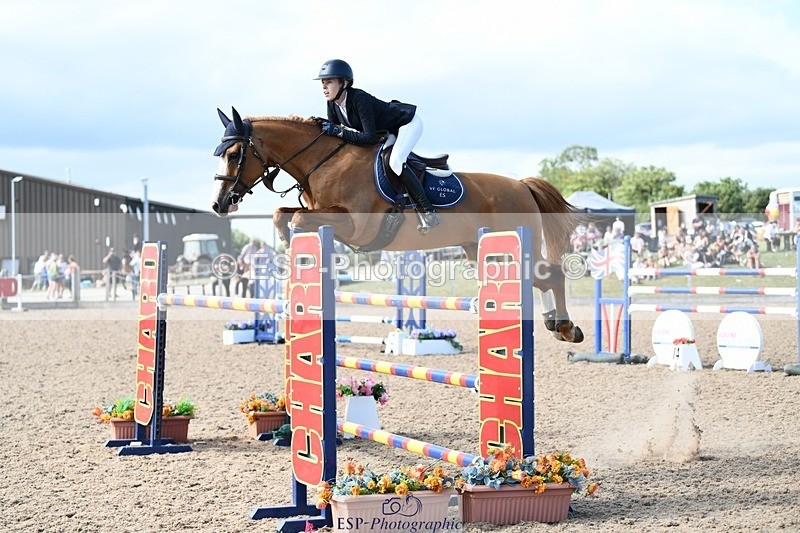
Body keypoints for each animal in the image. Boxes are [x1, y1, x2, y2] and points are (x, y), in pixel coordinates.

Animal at [211, 108, 583, 343]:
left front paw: (293, 245)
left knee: (553, 274)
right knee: (541, 278)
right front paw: (290, 247)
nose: (220, 203)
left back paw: (566, 327)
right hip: (487, 250)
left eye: (233, 155)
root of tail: (522, 185)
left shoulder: (356, 226)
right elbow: (281, 213)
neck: (324, 162)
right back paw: (554, 322)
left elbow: (298, 217)